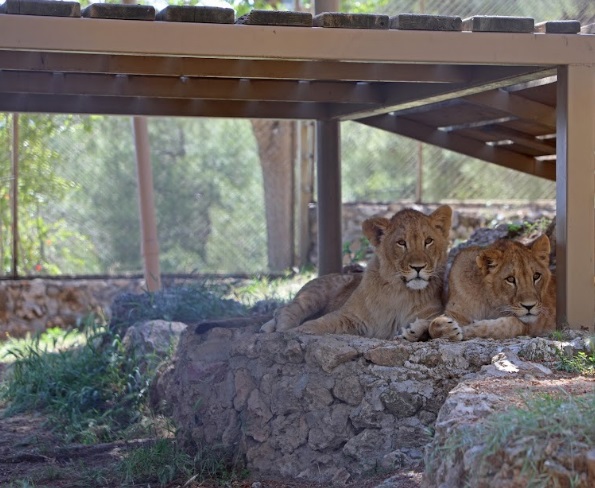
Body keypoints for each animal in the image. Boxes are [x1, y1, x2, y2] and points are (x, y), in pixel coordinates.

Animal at [260, 205, 452, 340]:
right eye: (401, 243)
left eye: (428, 241)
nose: (418, 267)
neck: (399, 292)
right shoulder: (349, 316)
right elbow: (315, 324)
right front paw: (291, 334)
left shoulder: (431, 313)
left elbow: (428, 324)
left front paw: (416, 331)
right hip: (314, 295)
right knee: (285, 309)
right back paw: (277, 328)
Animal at [424, 234, 556, 342]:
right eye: (510, 279)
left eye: (536, 276)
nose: (529, 306)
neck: (487, 301)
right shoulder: (455, 311)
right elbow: (431, 326)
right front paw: (446, 327)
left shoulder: (529, 325)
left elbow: (503, 327)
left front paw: (469, 329)